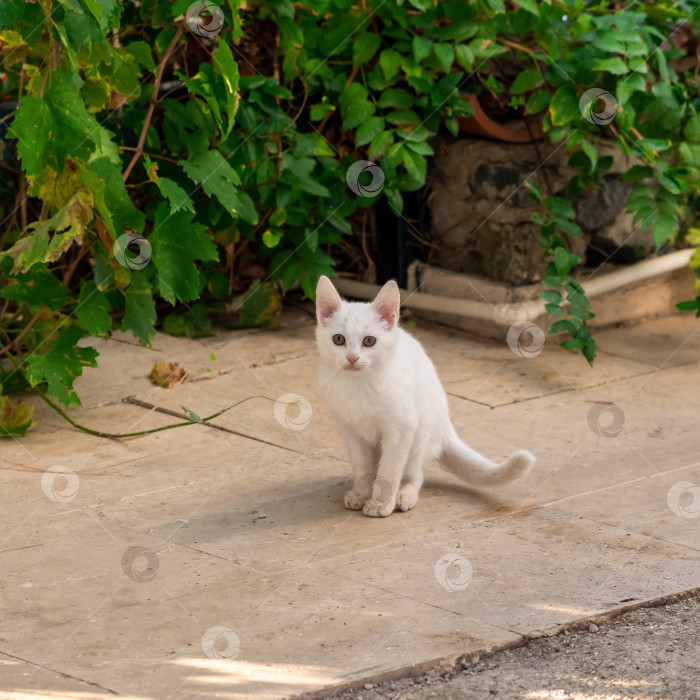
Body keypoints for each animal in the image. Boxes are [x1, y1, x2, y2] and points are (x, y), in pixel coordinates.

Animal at [316, 276, 536, 516]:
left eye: (369, 341)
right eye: (338, 339)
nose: (352, 358)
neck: (359, 384)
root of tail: (446, 426)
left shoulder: (402, 428)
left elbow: (390, 469)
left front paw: (381, 503)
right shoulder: (350, 430)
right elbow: (361, 465)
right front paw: (361, 493)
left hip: (421, 434)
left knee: (416, 474)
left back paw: (405, 494)